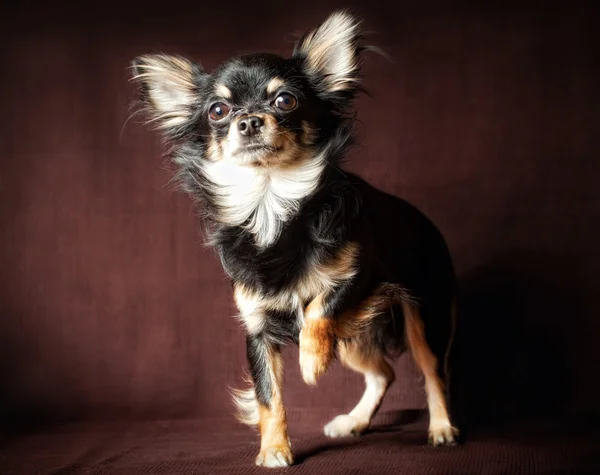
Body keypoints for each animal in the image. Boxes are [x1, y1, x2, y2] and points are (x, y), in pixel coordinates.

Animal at [131, 10, 460, 468]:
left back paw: (442, 428)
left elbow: (320, 308)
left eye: (284, 101)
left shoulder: (361, 277)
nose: (248, 120)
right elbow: (268, 398)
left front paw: (310, 361)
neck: (271, 202)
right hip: (355, 339)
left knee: (433, 373)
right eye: (218, 110)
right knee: (385, 372)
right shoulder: (257, 328)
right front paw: (273, 450)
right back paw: (353, 422)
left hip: (425, 317)